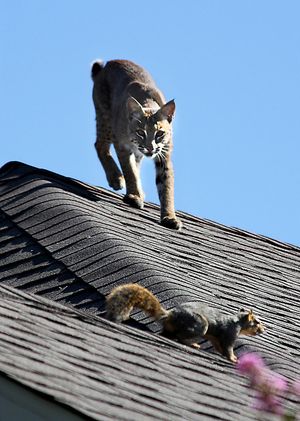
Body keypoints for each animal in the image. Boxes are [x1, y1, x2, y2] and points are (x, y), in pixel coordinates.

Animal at [91, 58, 180, 230]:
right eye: (140, 132)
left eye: (159, 134)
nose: (150, 148)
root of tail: (110, 62)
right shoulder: (122, 145)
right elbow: (129, 170)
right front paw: (133, 196)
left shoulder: (164, 154)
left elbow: (166, 185)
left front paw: (169, 217)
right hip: (106, 120)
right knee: (99, 145)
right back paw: (116, 178)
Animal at [105, 282, 264, 360]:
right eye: (257, 322)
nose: (263, 329)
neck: (238, 322)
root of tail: (171, 315)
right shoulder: (230, 333)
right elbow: (228, 347)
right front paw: (233, 358)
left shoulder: (216, 338)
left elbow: (219, 346)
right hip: (200, 325)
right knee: (180, 336)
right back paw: (192, 343)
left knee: (168, 334)